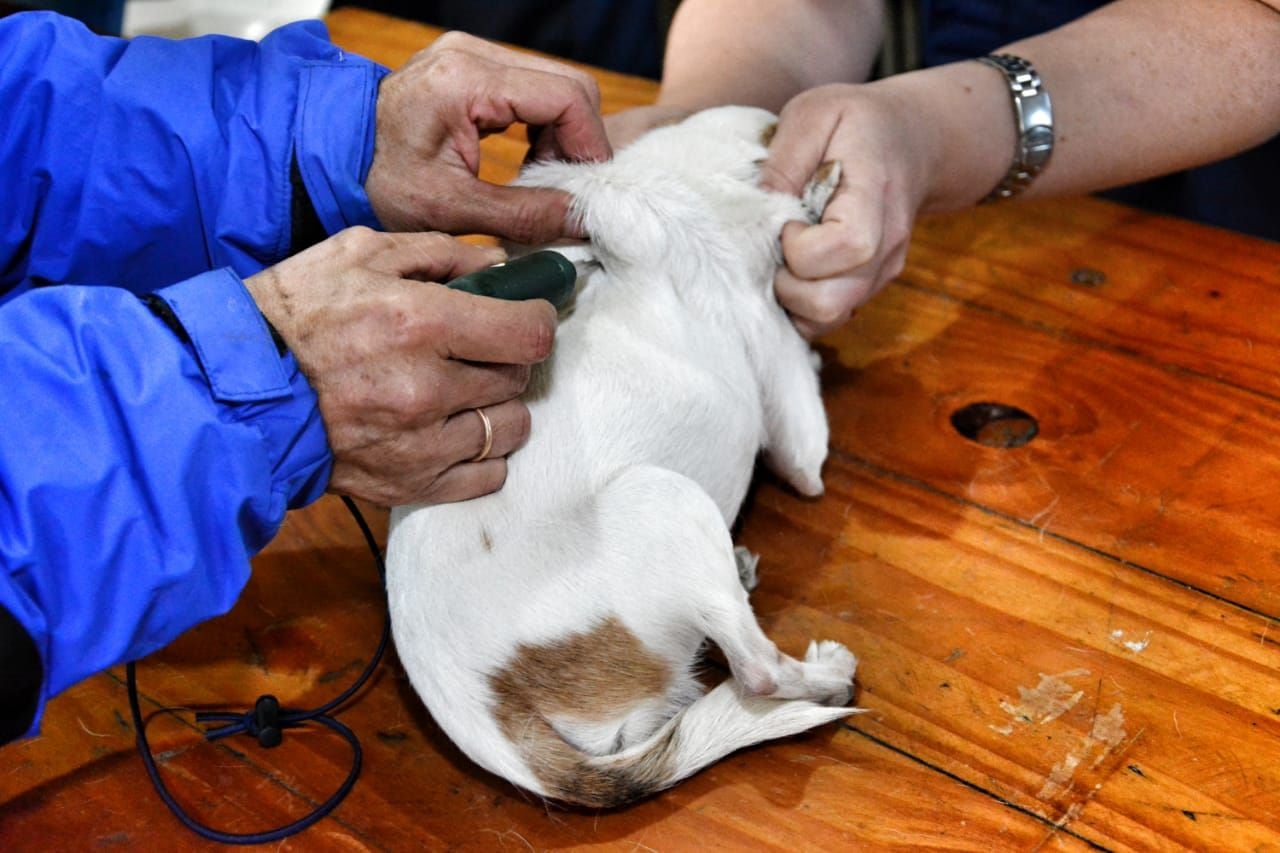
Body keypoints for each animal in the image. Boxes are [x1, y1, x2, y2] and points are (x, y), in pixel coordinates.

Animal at [384, 106, 855, 804]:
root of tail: (497, 728)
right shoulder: (789, 403)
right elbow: (805, 452)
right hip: (662, 496)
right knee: (759, 671)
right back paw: (827, 674)